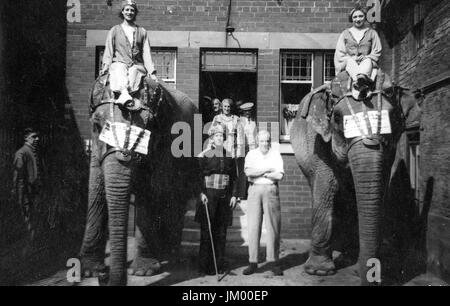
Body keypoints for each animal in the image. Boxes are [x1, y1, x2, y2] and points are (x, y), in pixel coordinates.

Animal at [80, 75, 201, 286]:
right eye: (96, 126)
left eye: (149, 127)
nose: (104, 277)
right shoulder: (95, 150)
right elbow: (97, 192)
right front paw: (89, 271)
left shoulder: (165, 148)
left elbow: (150, 192)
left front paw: (144, 271)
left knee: (175, 199)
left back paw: (170, 254)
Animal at [288, 70, 422, 286]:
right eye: (336, 118)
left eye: (392, 118)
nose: (372, 275)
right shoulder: (317, 142)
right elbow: (326, 187)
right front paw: (319, 271)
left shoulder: (389, 151)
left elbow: (378, 190)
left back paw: (348, 254)